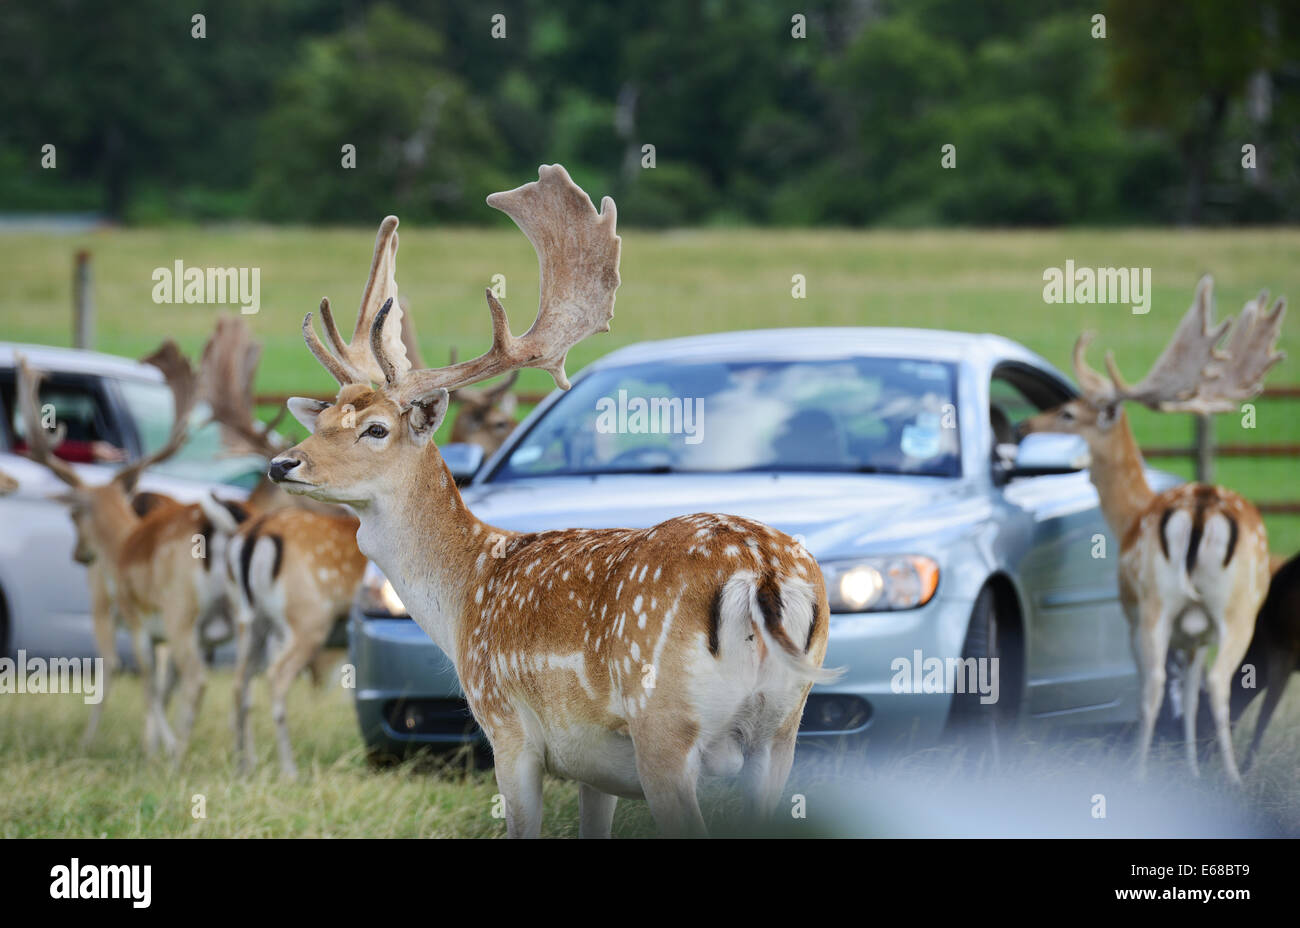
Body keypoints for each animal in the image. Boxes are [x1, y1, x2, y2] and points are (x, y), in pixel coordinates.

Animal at [17, 347, 248, 756]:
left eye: (73, 514)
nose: (79, 554)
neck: (123, 543)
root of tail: (220, 527)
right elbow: (161, 686)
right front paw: (152, 748)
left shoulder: (136, 617)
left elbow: (147, 682)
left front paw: (156, 748)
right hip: (242, 616)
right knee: (245, 681)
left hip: (180, 611)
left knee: (194, 678)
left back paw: (179, 754)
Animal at [267, 164, 839, 836]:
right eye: (326, 418)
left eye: (376, 429)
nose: (282, 463)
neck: (466, 593)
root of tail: (761, 573)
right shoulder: (597, 768)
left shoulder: (507, 727)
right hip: (782, 728)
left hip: (666, 728)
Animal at [1020, 276, 1285, 784]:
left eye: (1068, 414)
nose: (1024, 423)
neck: (1130, 513)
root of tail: (1200, 508)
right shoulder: (1194, 633)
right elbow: (1191, 691)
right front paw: (1192, 772)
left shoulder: (1130, 609)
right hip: (1232, 606)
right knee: (1213, 682)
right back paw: (1228, 776)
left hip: (1162, 601)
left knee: (1163, 685)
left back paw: (1149, 774)